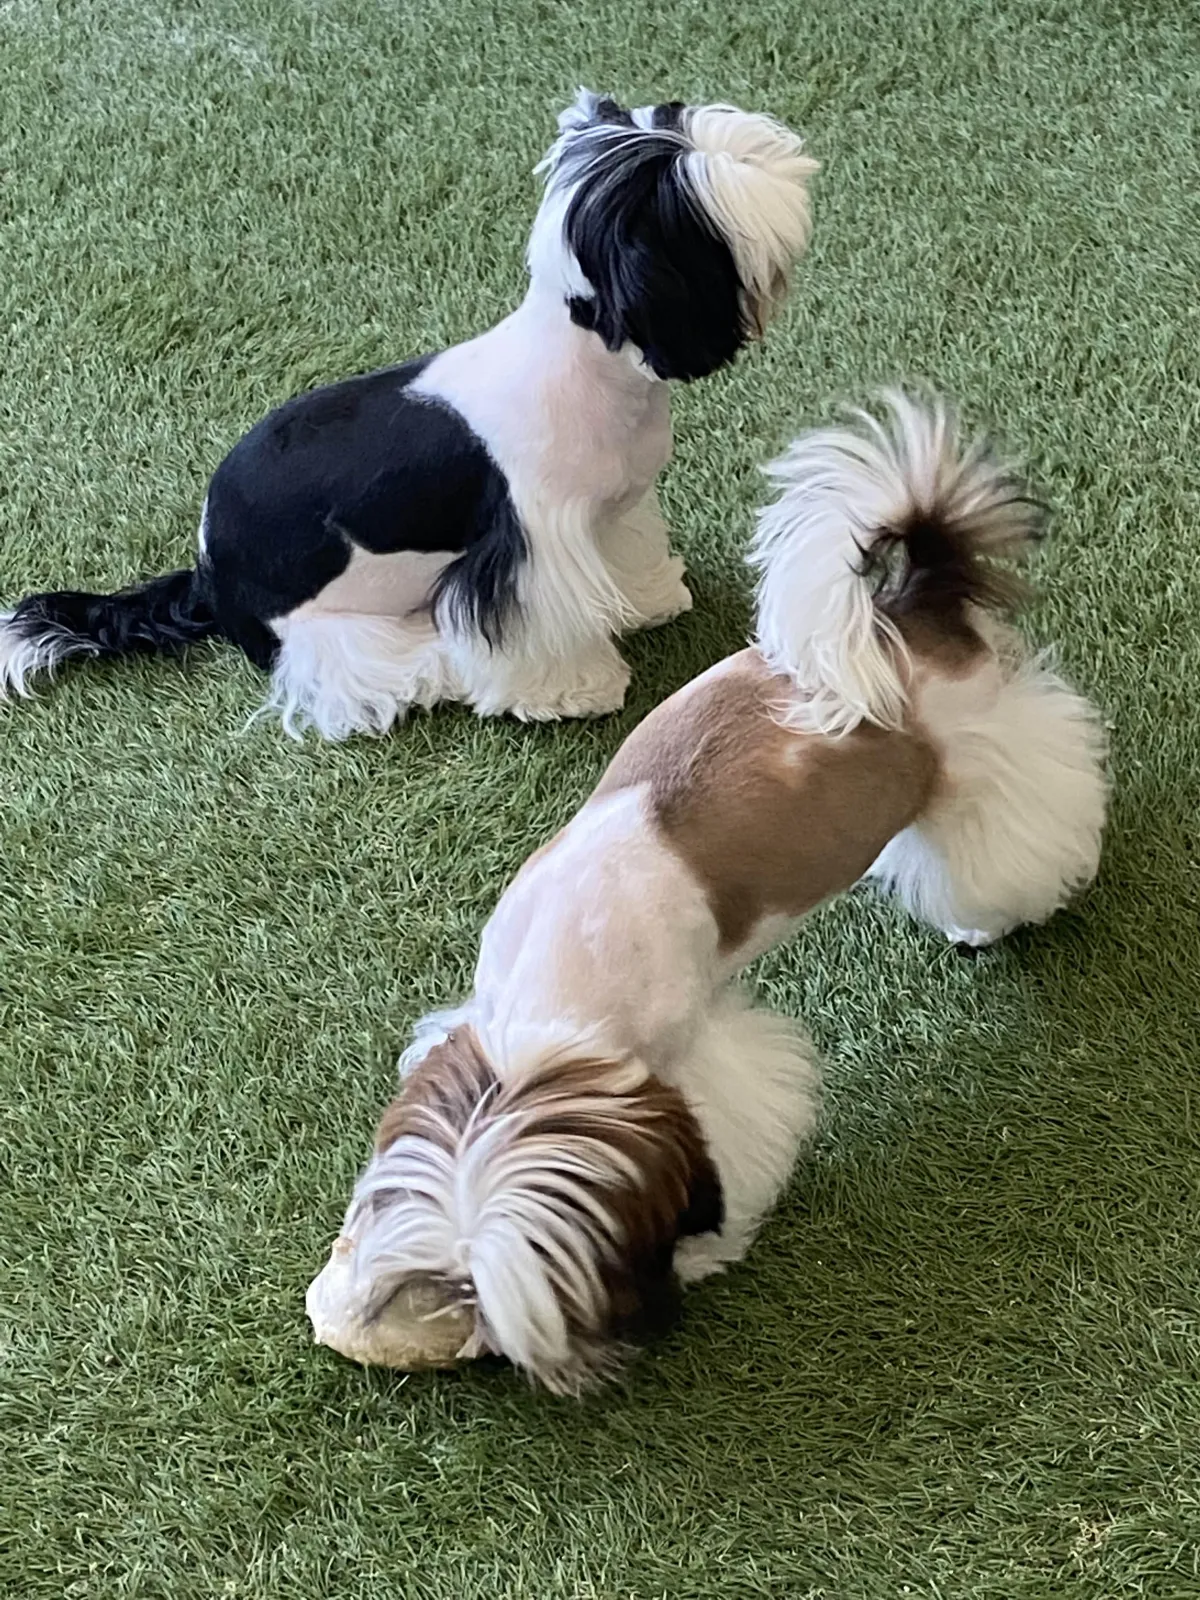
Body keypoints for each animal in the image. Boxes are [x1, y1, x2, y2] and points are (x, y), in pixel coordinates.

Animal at [0, 90, 819, 732]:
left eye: (671, 115)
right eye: (688, 181)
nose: (753, 144)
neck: (583, 360)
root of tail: (208, 574)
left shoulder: (612, 510)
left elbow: (631, 553)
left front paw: (651, 598)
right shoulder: (524, 550)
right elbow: (533, 628)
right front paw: (575, 690)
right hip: (327, 634)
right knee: (354, 675)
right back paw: (433, 669)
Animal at [307, 393, 1107, 1395]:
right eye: (450, 1280)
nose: (487, 1342)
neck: (547, 1015)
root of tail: (900, 609)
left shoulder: (696, 1060)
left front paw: (706, 1248)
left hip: (984, 759)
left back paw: (1003, 907)